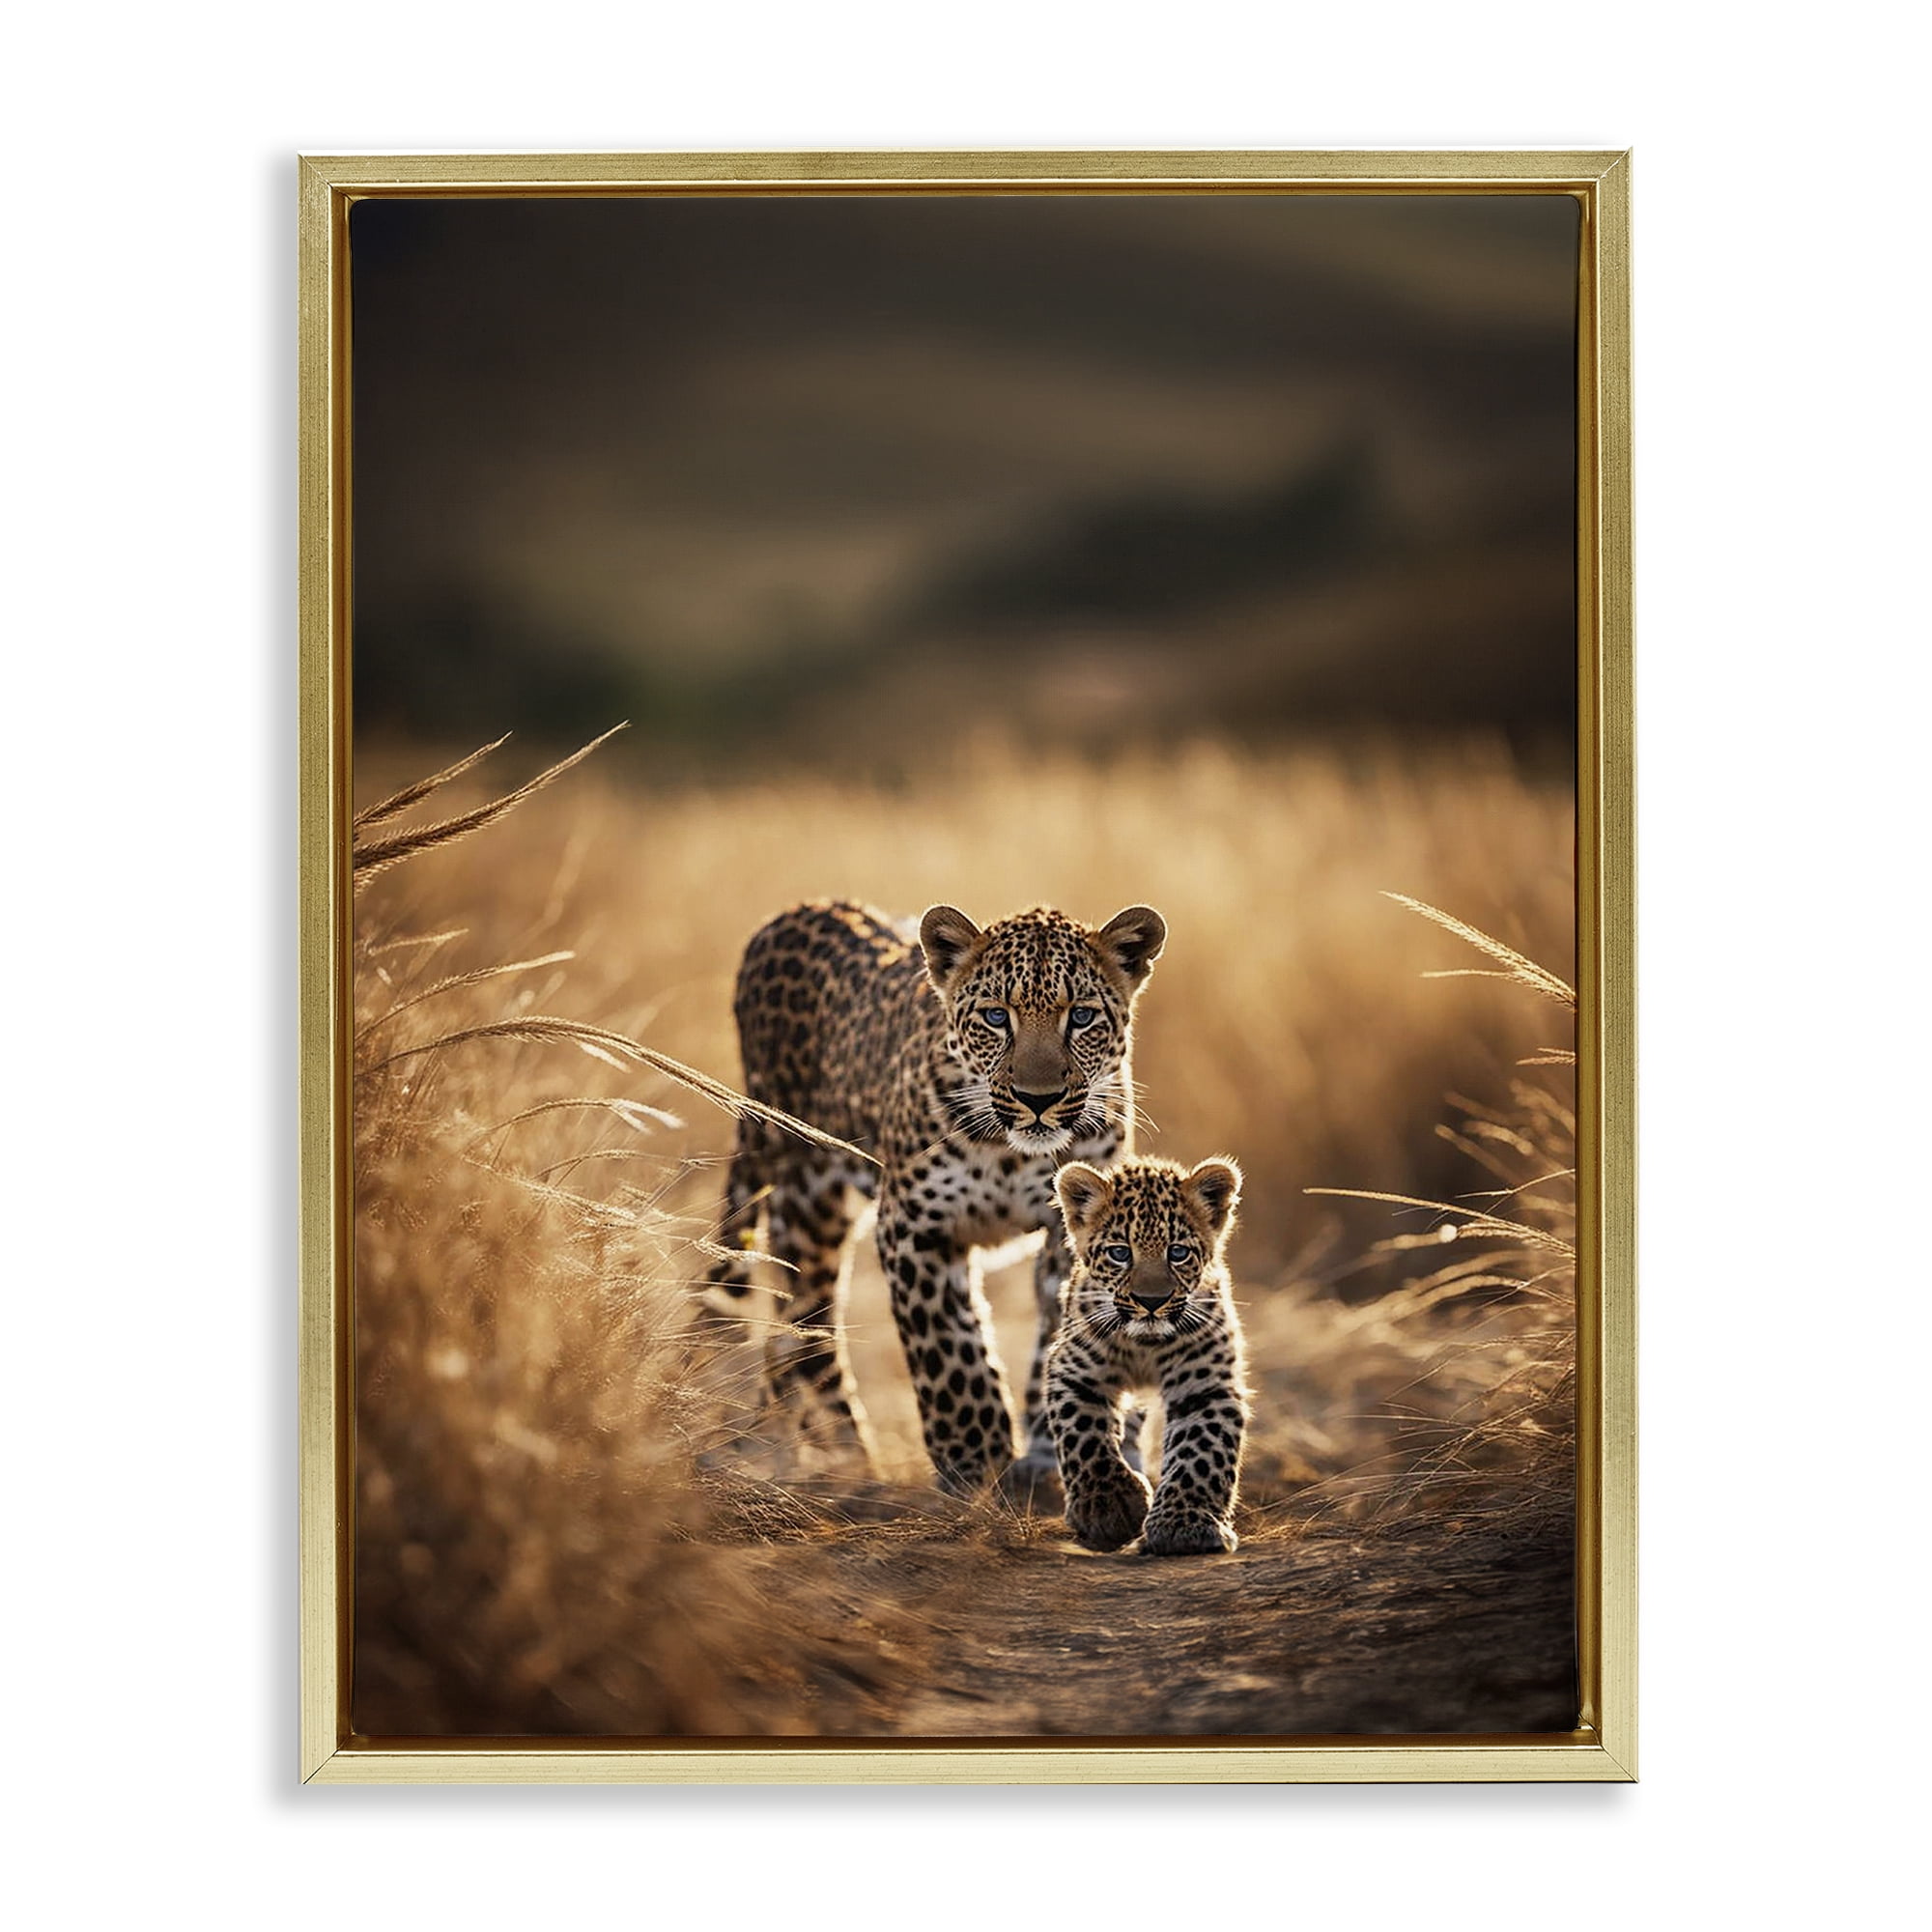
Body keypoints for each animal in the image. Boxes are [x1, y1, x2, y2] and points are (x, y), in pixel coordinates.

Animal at [702, 897, 1166, 1495]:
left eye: (1081, 1017)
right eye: (996, 1017)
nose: (1037, 1099)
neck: (1014, 1154)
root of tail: (795, 910)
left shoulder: (1080, 1234)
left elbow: (1064, 1339)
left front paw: (1051, 1456)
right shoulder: (915, 1226)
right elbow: (949, 1350)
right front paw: (976, 1460)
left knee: (790, 1331)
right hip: (800, 1191)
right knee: (809, 1325)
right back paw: (839, 1458)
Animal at [1044, 1154, 1250, 1556]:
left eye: (1178, 1252)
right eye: (1120, 1253)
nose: (1151, 1302)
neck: (1145, 1347)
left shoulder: (1206, 1386)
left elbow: (1201, 1450)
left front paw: (1184, 1526)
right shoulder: (1073, 1371)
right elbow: (1084, 1435)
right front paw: (1108, 1505)